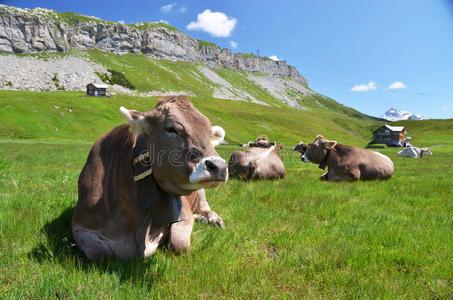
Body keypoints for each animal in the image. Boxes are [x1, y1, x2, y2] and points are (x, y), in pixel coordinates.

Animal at [73, 96, 230, 260]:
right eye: (171, 129)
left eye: (209, 133)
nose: (220, 166)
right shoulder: (79, 226)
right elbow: (100, 253)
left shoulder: (183, 213)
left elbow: (178, 244)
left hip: (201, 192)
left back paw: (213, 219)